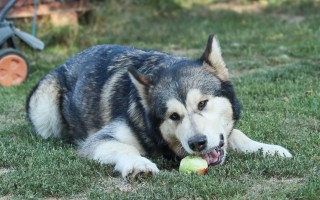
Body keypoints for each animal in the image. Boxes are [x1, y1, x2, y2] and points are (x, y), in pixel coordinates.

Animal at [26, 34, 292, 178]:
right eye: (173, 116)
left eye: (202, 103)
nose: (197, 143)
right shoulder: (97, 141)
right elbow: (124, 148)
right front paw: (138, 164)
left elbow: (237, 134)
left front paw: (268, 149)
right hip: (45, 110)